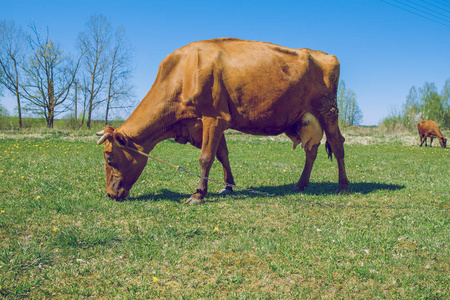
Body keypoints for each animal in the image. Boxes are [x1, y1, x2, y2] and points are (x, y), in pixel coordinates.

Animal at [96, 37, 350, 203]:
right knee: (311, 150)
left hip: (329, 111)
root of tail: (325, 55)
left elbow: (206, 158)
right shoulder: (204, 124)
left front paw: (198, 194)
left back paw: (343, 186)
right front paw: (228, 186)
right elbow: (222, 155)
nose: (110, 193)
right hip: (308, 120)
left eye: (109, 157)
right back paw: (301, 184)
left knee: (337, 145)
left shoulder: (213, 117)